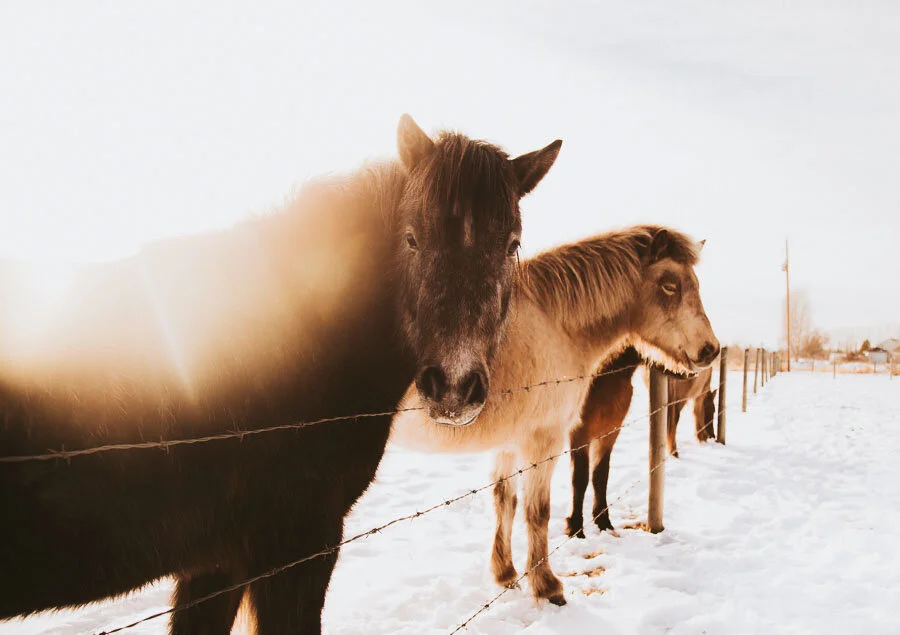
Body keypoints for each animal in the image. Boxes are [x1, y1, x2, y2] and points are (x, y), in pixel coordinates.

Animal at [391, 225, 719, 605]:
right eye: (669, 285)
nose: (711, 350)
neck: (552, 323)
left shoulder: (509, 443)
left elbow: (506, 502)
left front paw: (506, 573)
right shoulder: (545, 440)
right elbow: (539, 511)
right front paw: (548, 586)